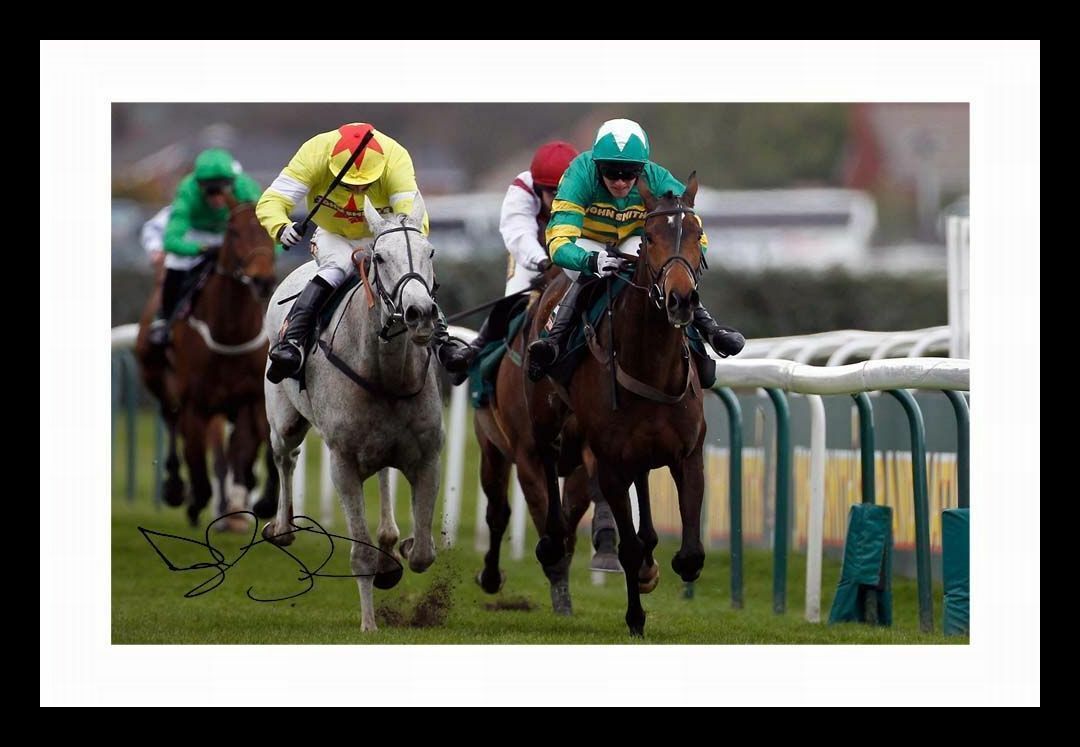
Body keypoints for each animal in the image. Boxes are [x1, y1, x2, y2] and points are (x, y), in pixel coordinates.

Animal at [135, 195, 280, 528]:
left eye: (267, 231)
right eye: (234, 231)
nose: (262, 280)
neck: (230, 333)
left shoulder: (251, 398)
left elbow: (246, 449)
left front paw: (258, 501)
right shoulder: (196, 403)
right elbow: (198, 465)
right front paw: (195, 501)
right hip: (157, 377)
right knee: (170, 418)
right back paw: (175, 488)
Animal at [261, 194, 442, 630]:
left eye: (430, 252)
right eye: (379, 257)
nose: (420, 313)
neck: (387, 376)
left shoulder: (428, 456)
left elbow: (424, 552)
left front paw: (401, 552)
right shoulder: (342, 462)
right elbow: (359, 553)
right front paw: (369, 624)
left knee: (383, 477)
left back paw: (391, 542)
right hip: (284, 420)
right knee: (285, 456)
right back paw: (282, 527)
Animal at [522, 173, 708, 634]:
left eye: (697, 235)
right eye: (651, 237)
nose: (681, 300)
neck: (651, 367)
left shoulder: (689, 452)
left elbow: (690, 555)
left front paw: (653, 569)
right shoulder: (607, 462)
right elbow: (626, 545)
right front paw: (635, 616)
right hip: (544, 414)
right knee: (546, 458)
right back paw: (552, 541)